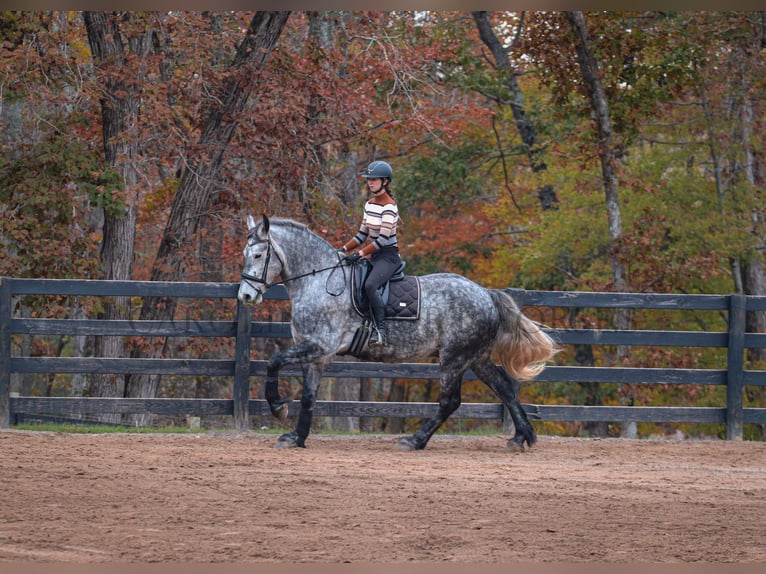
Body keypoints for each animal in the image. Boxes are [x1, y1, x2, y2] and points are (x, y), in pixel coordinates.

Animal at [237, 214, 556, 452]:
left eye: (258, 254)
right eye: (245, 253)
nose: (245, 296)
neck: (320, 281)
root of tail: (486, 295)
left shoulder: (319, 346)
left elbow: (273, 362)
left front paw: (278, 407)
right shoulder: (316, 354)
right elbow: (308, 396)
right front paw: (297, 437)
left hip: (454, 359)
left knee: (450, 402)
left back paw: (415, 440)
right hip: (476, 358)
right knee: (504, 387)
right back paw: (520, 437)